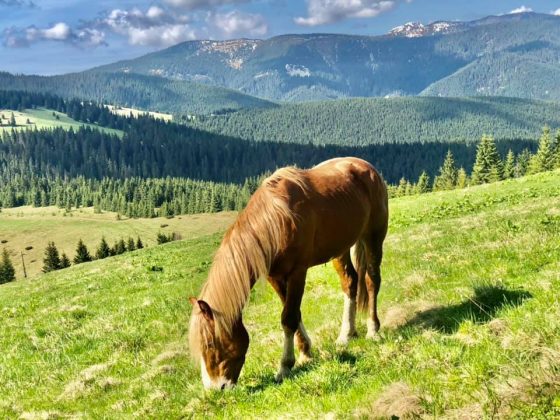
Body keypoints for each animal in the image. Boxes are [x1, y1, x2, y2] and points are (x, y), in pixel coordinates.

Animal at [188, 158, 390, 390]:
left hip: (373, 236)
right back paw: (346, 335)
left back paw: (373, 330)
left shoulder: (297, 273)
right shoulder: (275, 277)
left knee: (372, 280)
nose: (215, 388)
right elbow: (294, 313)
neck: (275, 220)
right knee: (350, 283)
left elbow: (289, 318)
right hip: (341, 248)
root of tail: (366, 166)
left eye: (210, 343)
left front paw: (285, 366)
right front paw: (305, 353)